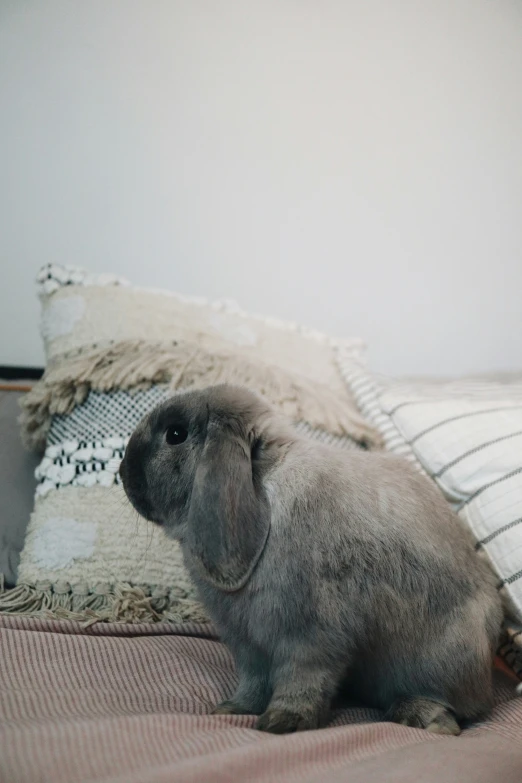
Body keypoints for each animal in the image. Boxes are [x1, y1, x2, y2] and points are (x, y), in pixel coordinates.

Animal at [120, 384, 502, 736]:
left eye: (175, 434)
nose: (123, 472)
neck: (265, 486)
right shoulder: (247, 644)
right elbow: (252, 683)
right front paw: (231, 709)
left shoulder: (310, 637)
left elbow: (301, 681)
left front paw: (280, 723)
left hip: (439, 661)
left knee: (447, 704)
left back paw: (423, 719)